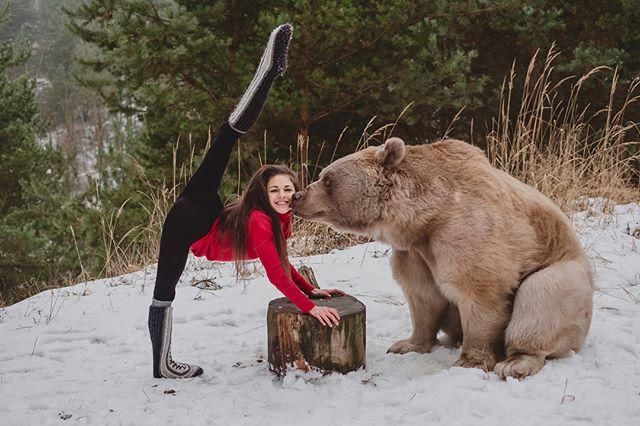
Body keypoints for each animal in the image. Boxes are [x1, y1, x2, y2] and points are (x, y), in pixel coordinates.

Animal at [292, 137, 592, 380]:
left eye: (327, 178)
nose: (297, 195)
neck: (426, 218)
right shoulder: (414, 252)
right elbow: (422, 296)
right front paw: (405, 345)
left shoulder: (466, 232)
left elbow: (480, 292)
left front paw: (469, 361)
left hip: (565, 276)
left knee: (540, 296)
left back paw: (515, 362)